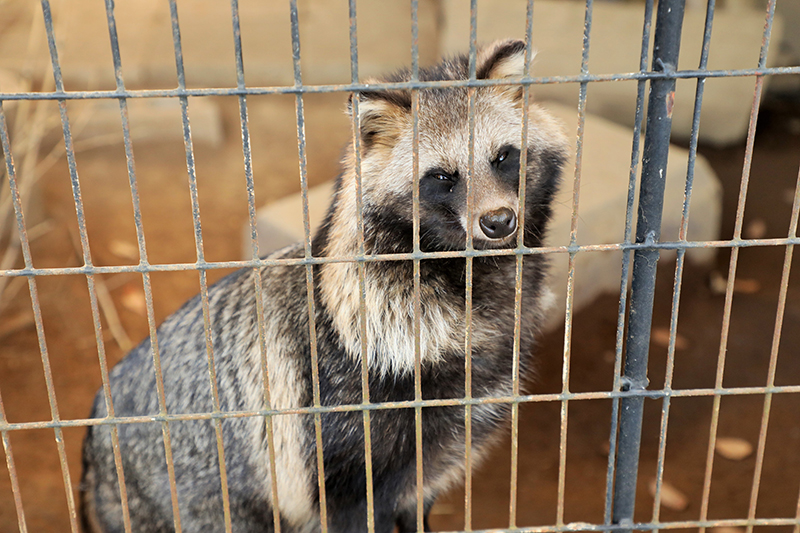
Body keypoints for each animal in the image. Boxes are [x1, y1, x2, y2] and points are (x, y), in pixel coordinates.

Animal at [81, 39, 568, 528]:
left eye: (502, 156)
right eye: (443, 177)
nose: (498, 221)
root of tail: (93, 434)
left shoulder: (435, 464)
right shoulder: (342, 468)